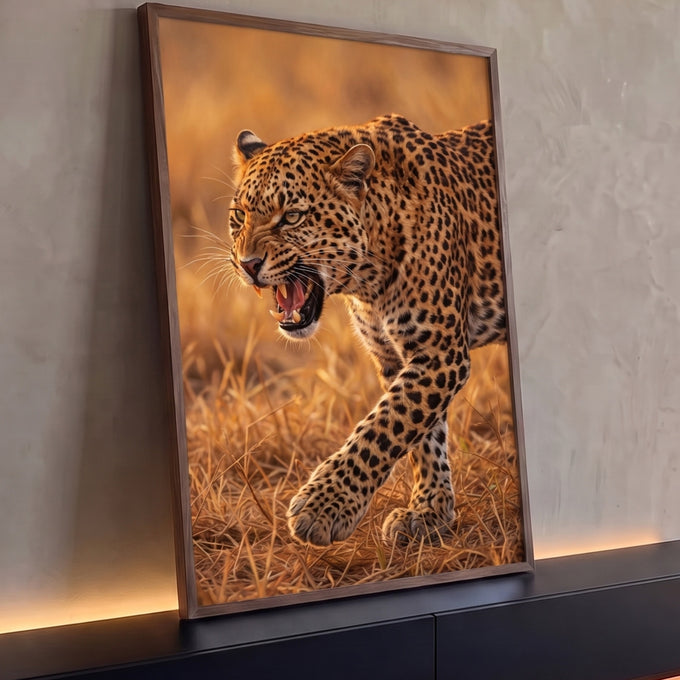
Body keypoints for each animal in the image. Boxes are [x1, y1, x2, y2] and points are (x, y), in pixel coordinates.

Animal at [228, 114, 506, 547]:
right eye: (239, 216)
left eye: (292, 217)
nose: (248, 264)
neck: (367, 283)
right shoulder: (396, 358)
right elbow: (422, 435)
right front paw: (429, 510)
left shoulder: (440, 353)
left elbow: (385, 425)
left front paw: (322, 508)